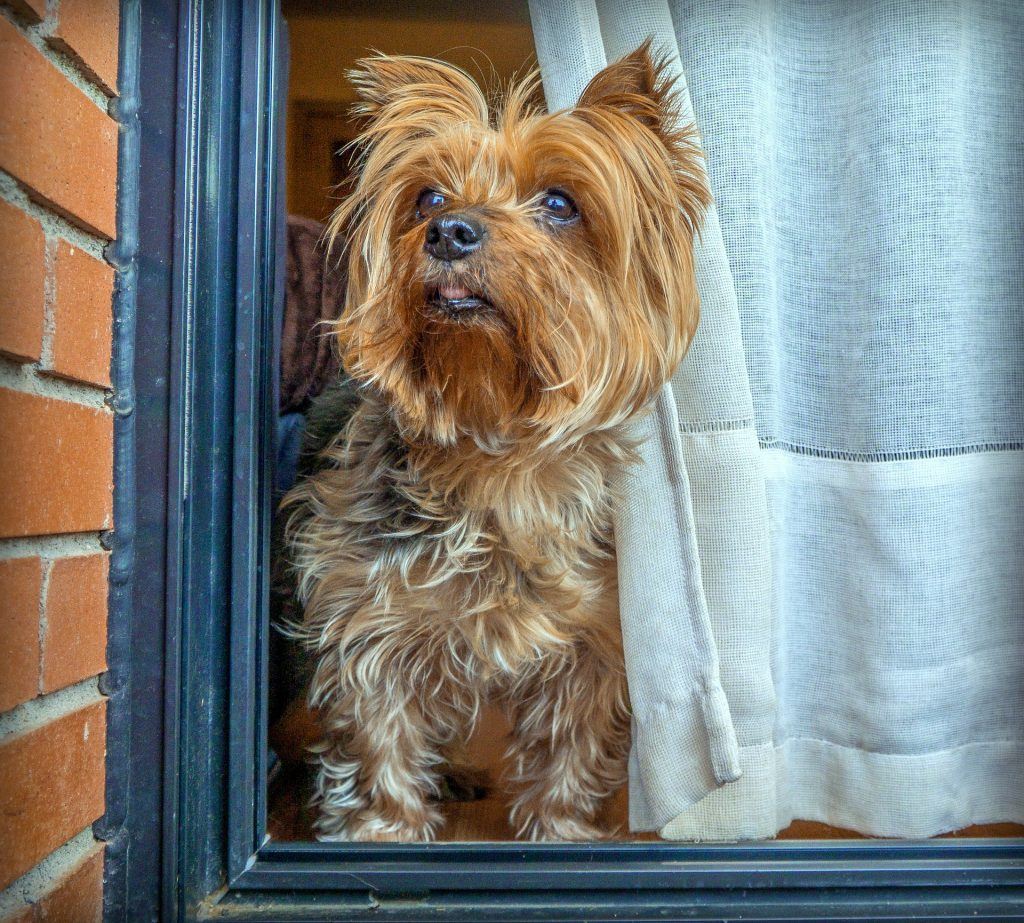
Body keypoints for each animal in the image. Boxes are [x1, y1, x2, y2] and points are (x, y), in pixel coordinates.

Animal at [284, 39, 708, 840]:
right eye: (428, 199)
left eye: (560, 204)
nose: (450, 231)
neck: (498, 451)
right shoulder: (370, 615)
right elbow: (380, 736)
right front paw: (382, 833)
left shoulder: (591, 639)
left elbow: (572, 746)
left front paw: (562, 832)